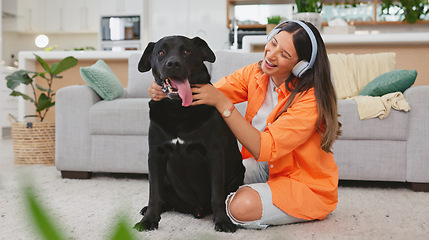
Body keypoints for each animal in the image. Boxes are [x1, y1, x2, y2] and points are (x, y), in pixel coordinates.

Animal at [135, 35, 244, 232]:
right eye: (160, 52)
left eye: (187, 51)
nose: (173, 64)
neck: (178, 109)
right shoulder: (155, 154)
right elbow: (154, 193)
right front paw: (149, 220)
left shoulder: (214, 154)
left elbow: (217, 194)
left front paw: (223, 221)